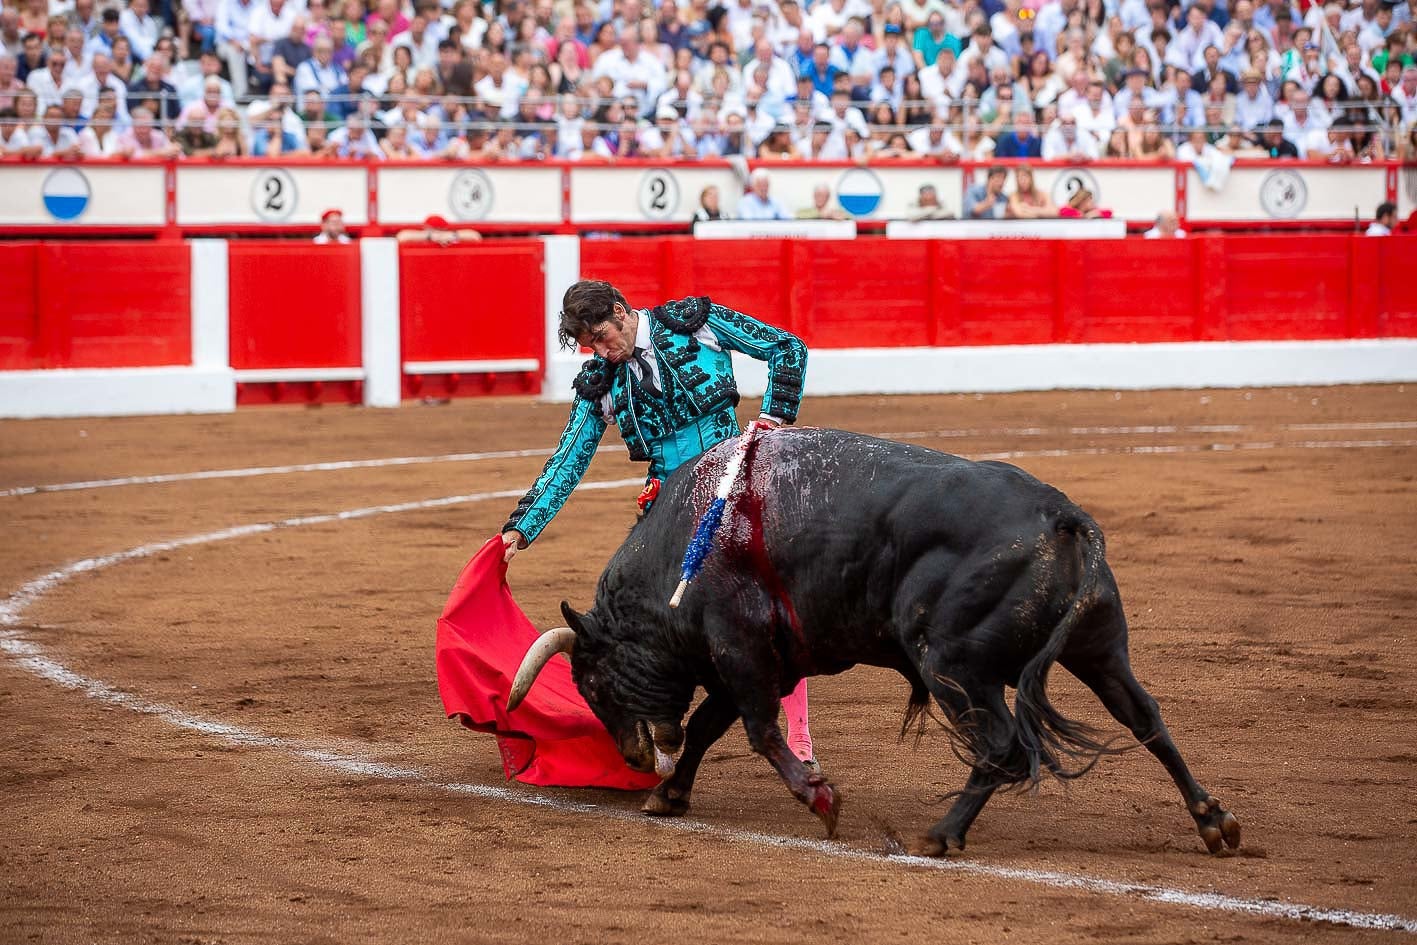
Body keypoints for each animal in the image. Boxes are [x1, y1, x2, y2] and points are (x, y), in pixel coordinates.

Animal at [512, 427, 1241, 855]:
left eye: (592, 681)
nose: (633, 757)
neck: (686, 545)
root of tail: (1061, 515)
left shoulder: (740, 650)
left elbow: (755, 730)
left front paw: (820, 799)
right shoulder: (755, 661)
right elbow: (707, 727)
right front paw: (668, 796)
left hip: (952, 665)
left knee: (1003, 745)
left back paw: (940, 836)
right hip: (1098, 648)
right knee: (1144, 717)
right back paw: (1213, 821)